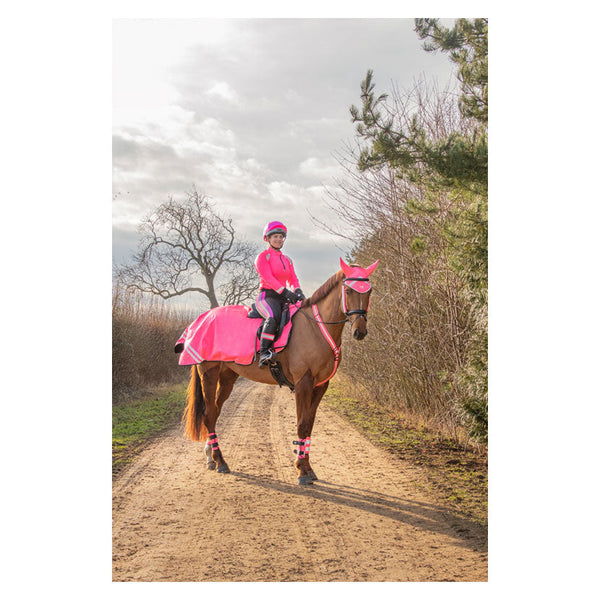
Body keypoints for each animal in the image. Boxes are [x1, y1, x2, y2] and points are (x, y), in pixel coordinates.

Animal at [179, 256, 380, 482]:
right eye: (348, 291)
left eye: (369, 291)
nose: (359, 331)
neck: (315, 329)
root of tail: (201, 319)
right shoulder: (303, 383)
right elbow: (302, 424)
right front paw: (302, 470)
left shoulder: (321, 385)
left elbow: (309, 424)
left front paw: (307, 467)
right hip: (209, 374)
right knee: (208, 414)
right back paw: (221, 461)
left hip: (227, 378)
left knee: (214, 412)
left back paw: (212, 457)